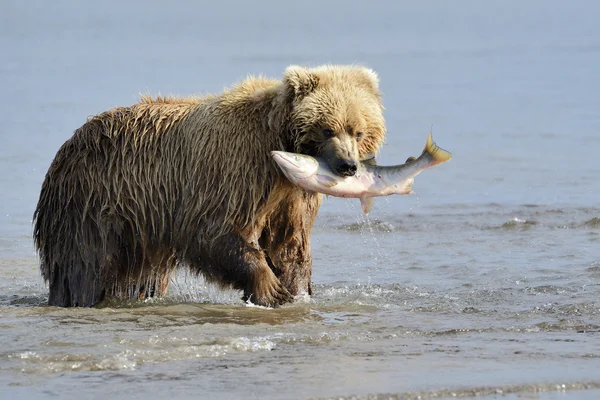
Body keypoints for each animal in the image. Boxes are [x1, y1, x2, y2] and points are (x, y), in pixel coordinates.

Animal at [32, 64, 386, 306]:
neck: (278, 145)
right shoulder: (234, 171)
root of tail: (66, 147)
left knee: (140, 275)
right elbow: (215, 230)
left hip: (138, 226)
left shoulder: (291, 196)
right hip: (93, 203)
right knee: (86, 264)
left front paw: (294, 289)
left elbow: (289, 243)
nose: (348, 166)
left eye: (358, 131)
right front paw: (269, 287)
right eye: (328, 128)